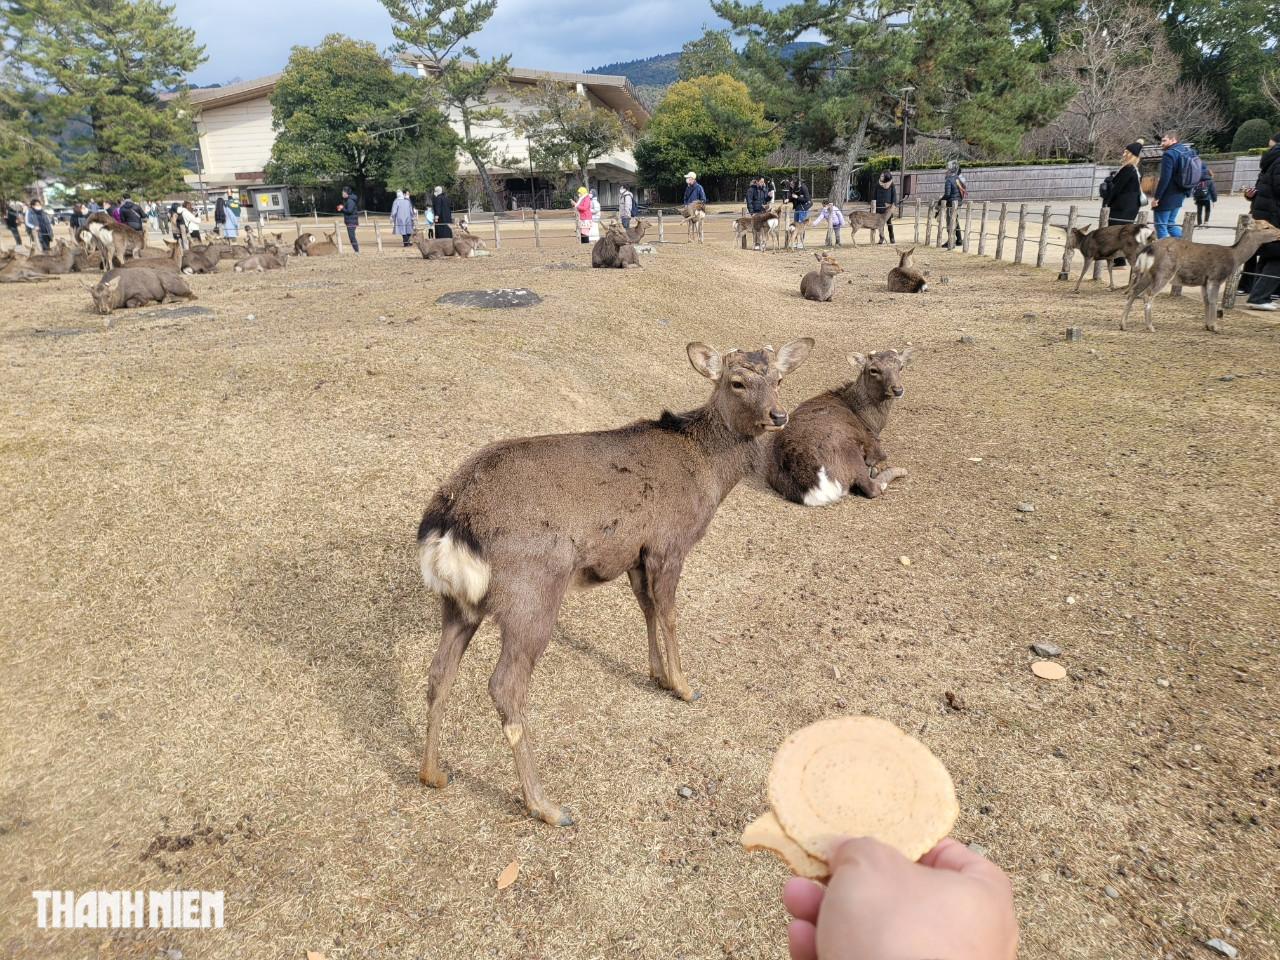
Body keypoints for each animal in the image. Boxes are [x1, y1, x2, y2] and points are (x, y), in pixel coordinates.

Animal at [414, 337, 814, 829]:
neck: (710, 477)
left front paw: (657, 674)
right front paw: (684, 686)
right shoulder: (668, 542)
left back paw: (433, 773)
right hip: (533, 592)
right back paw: (546, 805)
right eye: (736, 381)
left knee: (439, 673)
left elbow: (646, 609)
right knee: (505, 686)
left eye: (779, 378)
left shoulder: (633, 553)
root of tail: (448, 527)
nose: (779, 415)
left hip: (457, 603)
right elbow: (670, 614)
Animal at [762, 350, 916, 506]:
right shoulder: (874, 447)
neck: (872, 424)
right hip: (849, 450)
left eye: (901, 367)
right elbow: (880, 456)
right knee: (871, 487)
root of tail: (816, 488)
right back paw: (895, 471)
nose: (897, 390)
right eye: (873, 370)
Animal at [1121, 217, 1280, 335]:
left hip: (1149, 274)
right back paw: (1150, 327)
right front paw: (1216, 327)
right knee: (1148, 294)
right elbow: (1214, 300)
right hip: (1164, 271)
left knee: (1134, 290)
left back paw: (1123, 324)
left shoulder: (1204, 281)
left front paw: (1207, 326)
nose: (1279, 232)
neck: (1235, 257)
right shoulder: (1216, 277)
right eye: (1266, 227)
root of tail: (1148, 249)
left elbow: (1206, 301)